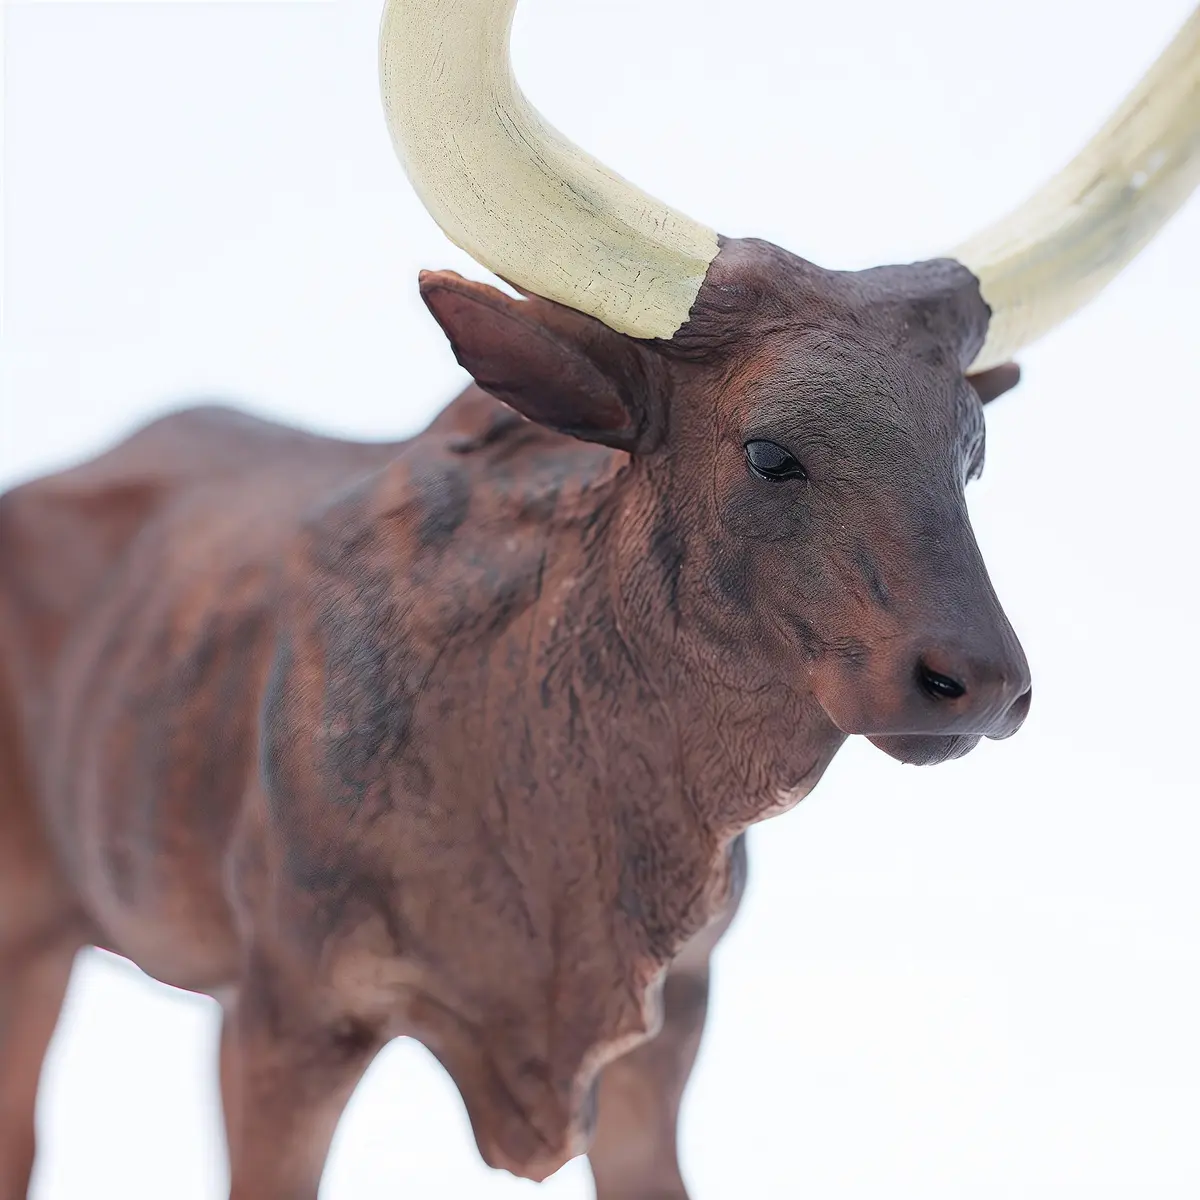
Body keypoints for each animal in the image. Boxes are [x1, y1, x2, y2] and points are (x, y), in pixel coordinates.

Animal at [1, 1, 1196, 1197]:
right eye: (769, 452)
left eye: (972, 457)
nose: (980, 683)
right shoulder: (286, 1019)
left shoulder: (673, 1023)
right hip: (33, 932)